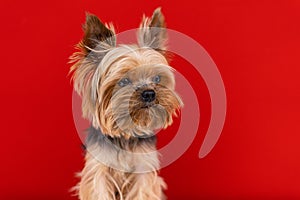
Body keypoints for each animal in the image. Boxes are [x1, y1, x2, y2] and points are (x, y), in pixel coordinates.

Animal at [69, 7, 183, 200]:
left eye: (157, 78)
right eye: (124, 81)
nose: (149, 93)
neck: (125, 134)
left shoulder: (143, 171)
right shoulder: (98, 171)